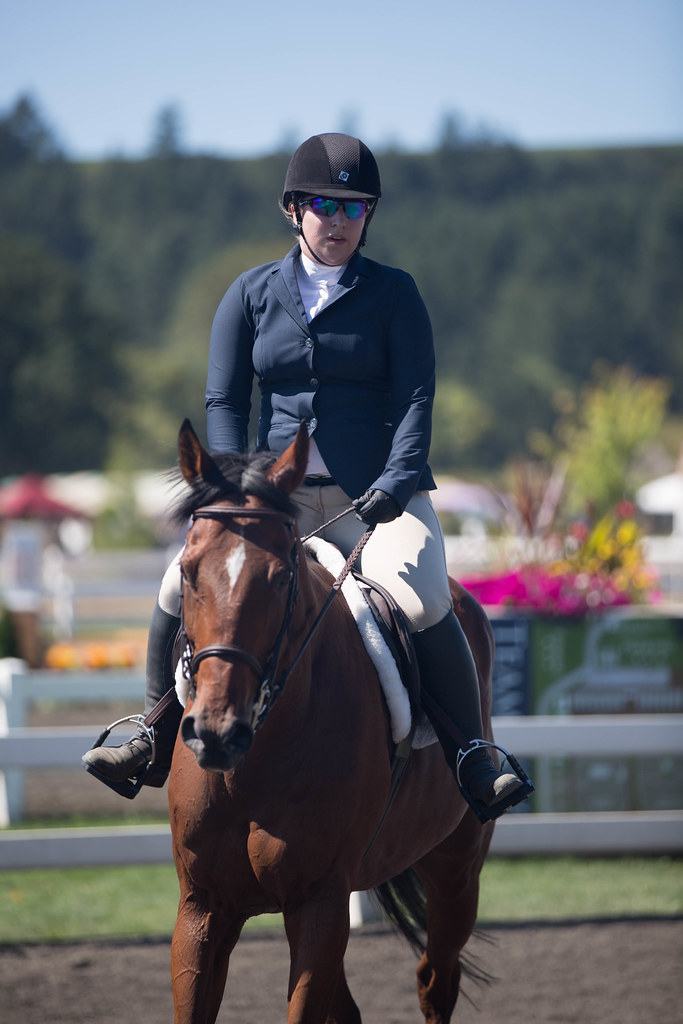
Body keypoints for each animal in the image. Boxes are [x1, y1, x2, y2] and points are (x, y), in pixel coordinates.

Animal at [167, 419, 496, 1023]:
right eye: (186, 571)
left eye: (280, 578)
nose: (217, 734)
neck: (253, 765)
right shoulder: (202, 909)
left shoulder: (319, 903)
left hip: (456, 871)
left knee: (436, 980)